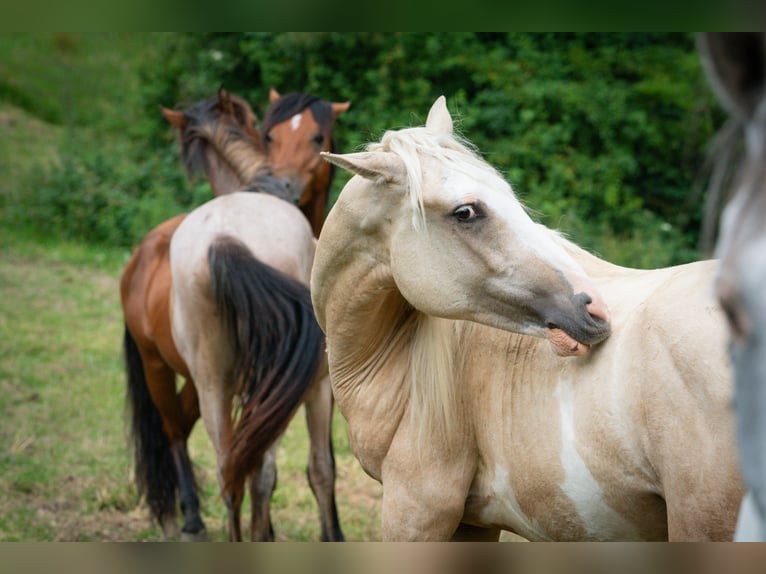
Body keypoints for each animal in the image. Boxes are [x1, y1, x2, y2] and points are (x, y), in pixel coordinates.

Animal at [170, 191, 325, 541]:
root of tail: (225, 238)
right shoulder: (321, 387)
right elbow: (322, 469)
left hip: (212, 383)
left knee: (229, 471)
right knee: (262, 472)